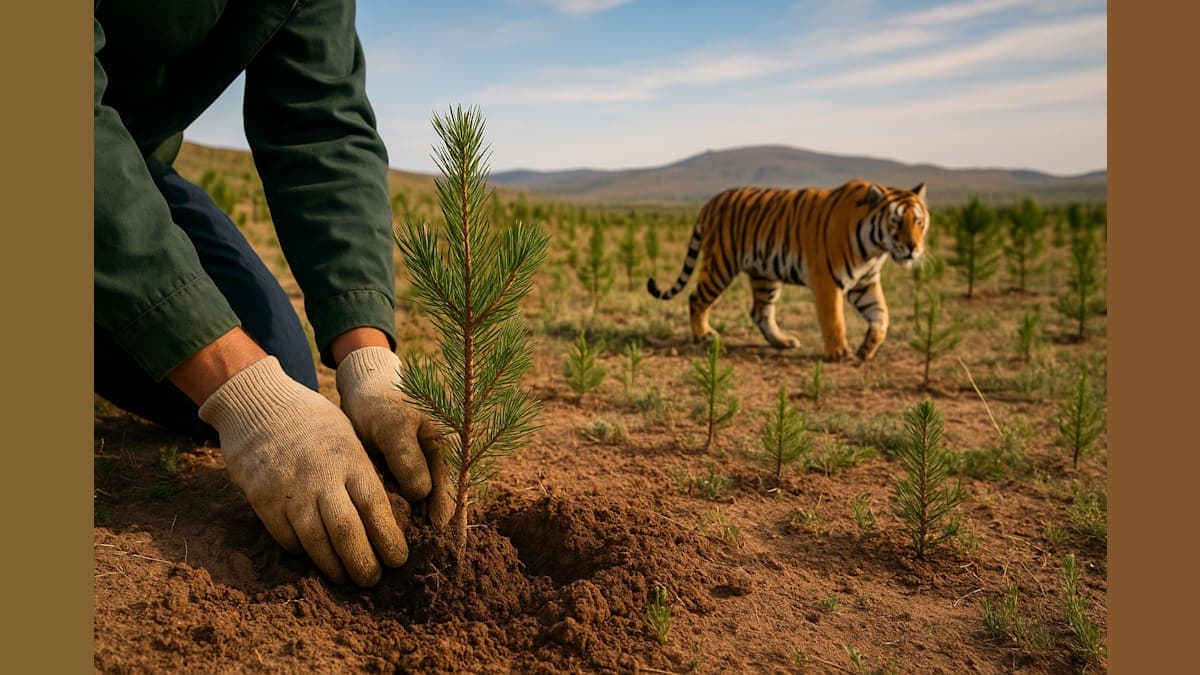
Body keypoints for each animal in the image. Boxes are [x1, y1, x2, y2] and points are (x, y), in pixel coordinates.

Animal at [647, 179, 929, 361]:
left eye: (918, 221)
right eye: (896, 221)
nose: (913, 248)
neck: (875, 250)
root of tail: (710, 202)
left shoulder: (865, 283)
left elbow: (882, 315)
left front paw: (867, 349)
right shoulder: (827, 281)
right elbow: (834, 320)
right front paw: (839, 353)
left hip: (765, 275)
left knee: (760, 312)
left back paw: (782, 342)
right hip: (720, 265)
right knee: (696, 298)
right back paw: (704, 336)